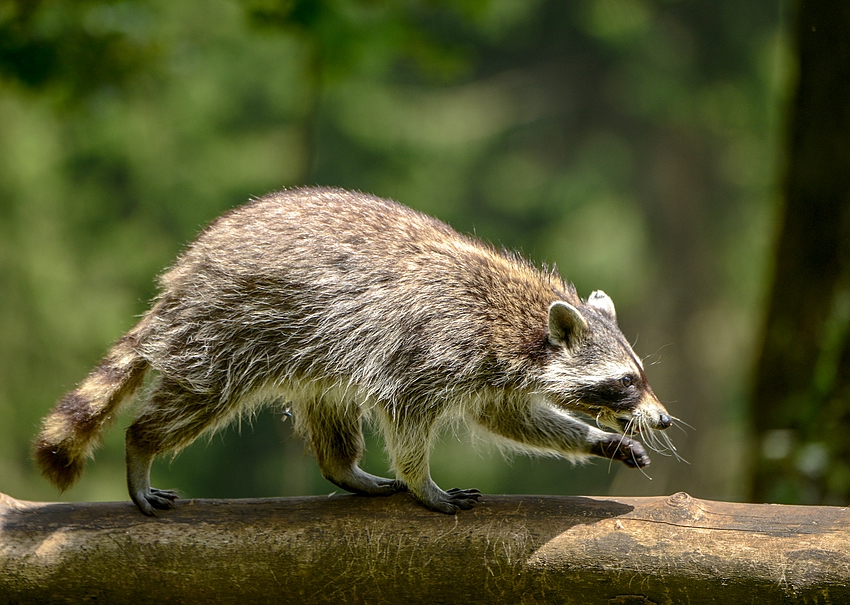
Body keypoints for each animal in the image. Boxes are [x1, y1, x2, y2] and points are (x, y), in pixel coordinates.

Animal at [33, 186, 672, 512]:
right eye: (626, 382)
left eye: (641, 374)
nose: (663, 418)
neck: (521, 321)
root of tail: (186, 272)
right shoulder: (432, 344)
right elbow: (408, 415)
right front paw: (422, 481)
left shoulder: (493, 371)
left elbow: (508, 416)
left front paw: (598, 439)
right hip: (231, 325)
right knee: (196, 397)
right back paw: (141, 447)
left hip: (309, 349)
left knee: (330, 410)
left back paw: (345, 468)